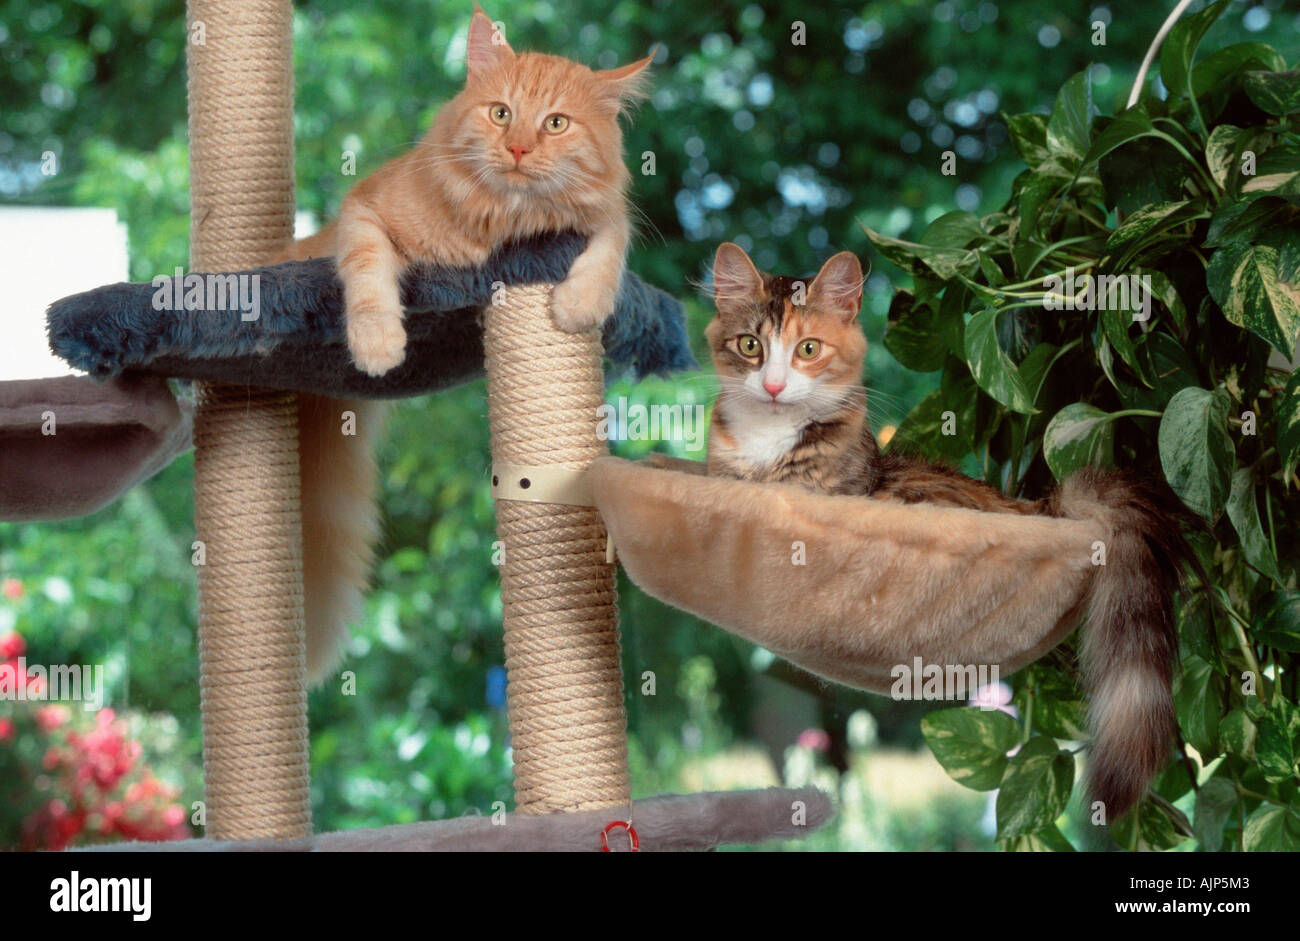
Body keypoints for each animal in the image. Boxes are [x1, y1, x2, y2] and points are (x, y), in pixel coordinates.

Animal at [278, 5, 655, 686]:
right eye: (501, 113)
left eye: (555, 123)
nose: (517, 147)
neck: (500, 224)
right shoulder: (363, 212)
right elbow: (370, 277)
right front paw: (379, 344)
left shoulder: (606, 219)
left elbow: (610, 244)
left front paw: (578, 306)